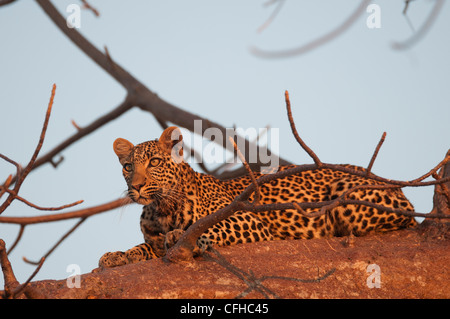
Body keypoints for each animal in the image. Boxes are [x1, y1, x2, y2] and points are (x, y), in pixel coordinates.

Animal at [99, 126, 418, 268]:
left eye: (154, 162)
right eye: (128, 167)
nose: (137, 186)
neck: (161, 207)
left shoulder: (247, 221)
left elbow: (205, 228)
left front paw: (181, 235)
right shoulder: (152, 237)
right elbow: (145, 247)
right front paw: (117, 255)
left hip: (347, 191)